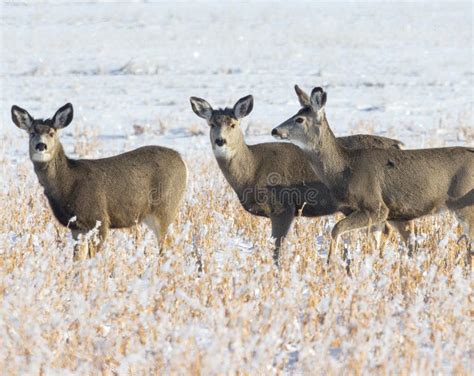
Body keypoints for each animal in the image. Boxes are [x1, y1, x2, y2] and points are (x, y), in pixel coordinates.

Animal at [11, 103, 187, 262]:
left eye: (52, 132)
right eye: (31, 133)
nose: (41, 145)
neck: (67, 182)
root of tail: (182, 160)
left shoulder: (99, 218)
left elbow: (94, 257)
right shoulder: (76, 227)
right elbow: (77, 258)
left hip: (165, 207)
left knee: (169, 245)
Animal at [272, 86, 472, 266]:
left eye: (299, 119)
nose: (275, 130)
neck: (345, 169)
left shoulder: (376, 206)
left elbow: (336, 229)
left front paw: (330, 263)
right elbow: (375, 242)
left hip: (464, 203)